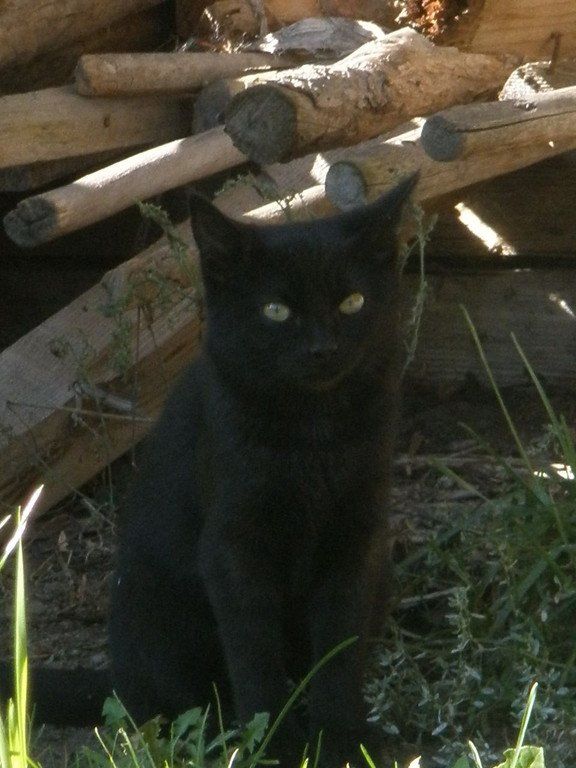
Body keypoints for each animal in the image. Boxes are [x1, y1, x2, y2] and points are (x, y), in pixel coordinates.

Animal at [2, 174, 417, 766]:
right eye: (275, 311)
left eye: (353, 302)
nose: (322, 348)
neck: (313, 433)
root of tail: (118, 677)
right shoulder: (232, 545)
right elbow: (253, 649)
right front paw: (274, 742)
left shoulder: (357, 539)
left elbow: (340, 644)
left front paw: (341, 739)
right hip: (153, 604)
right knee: (171, 705)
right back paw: (221, 732)